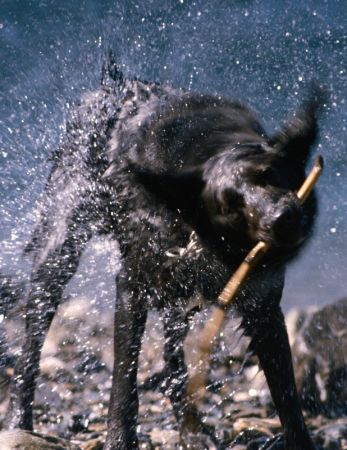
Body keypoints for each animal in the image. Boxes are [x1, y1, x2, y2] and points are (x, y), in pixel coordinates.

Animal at [4, 57, 324, 450]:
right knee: (31, 347)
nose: (282, 217)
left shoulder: (263, 307)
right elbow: (123, 382)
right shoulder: (132, 286)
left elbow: (287, 396)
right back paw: (19, 421)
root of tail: (113, 85)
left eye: (268, 174)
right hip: (60, 248)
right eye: (230, 207)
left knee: (174, 363)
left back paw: (191, 430)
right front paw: (118, 440)